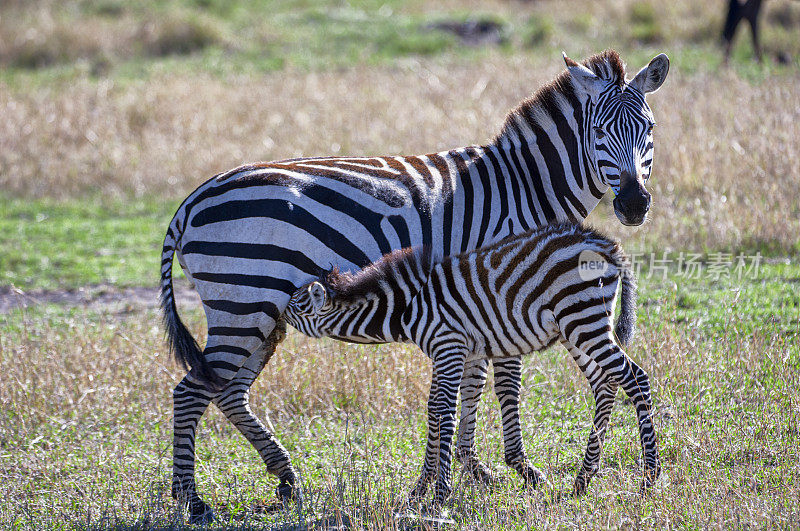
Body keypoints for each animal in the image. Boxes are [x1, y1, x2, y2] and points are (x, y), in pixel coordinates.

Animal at [284, 222, 660, 504]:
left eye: (295, 306)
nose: (274, 315)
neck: (407, 307)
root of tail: (607, 244)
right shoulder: (457, 352)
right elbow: (435, 410)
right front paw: (420, 491)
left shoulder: (448, 346)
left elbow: (444, 413)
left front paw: (439, 495)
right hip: (578, 326)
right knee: (605, 383)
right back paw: (583, 479)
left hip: (582, 318)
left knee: (636, 379)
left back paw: (649, 479)